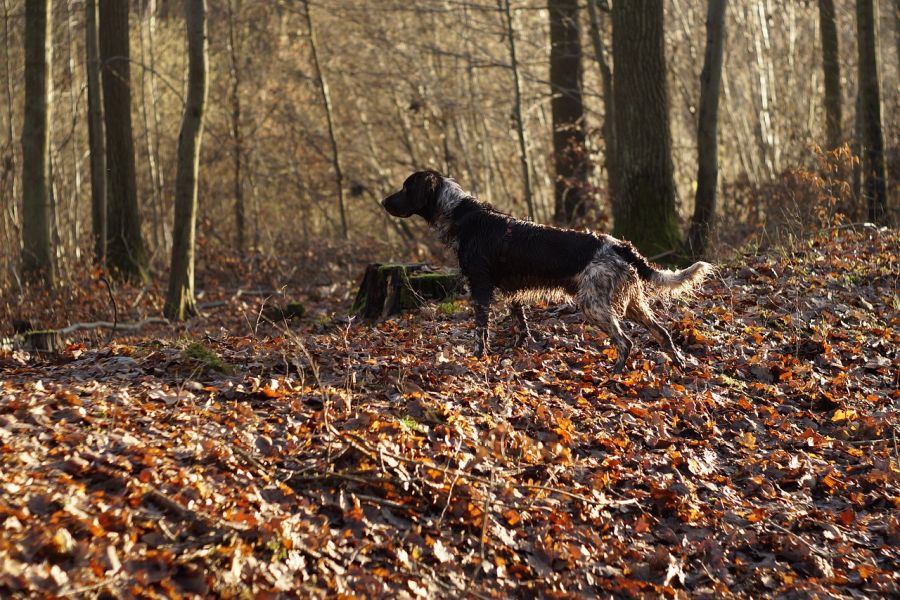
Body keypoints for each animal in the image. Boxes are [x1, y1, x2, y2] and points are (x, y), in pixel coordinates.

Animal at [380, 169, 712, 372]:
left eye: (406, 187)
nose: (383, 201)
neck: (463, 215)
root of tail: (619, 245)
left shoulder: (480, 286)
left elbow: (480, 330)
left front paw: (479, 357)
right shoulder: (511, 291)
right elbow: (520, 324)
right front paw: (517, 349)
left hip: (593, 305)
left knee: (625, 341)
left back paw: (615, 373)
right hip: (632, 303)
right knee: (663, 333)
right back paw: (680, 365)